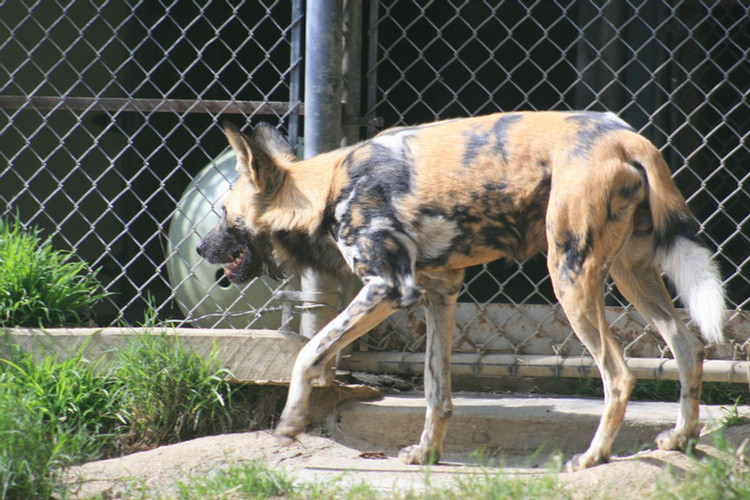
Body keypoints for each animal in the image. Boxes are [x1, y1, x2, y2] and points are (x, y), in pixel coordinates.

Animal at [197, 111, 724, 470]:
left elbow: (309, 353)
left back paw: (592, 458)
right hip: (632, 274)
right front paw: (426, 453)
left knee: (618, 374)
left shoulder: (388, 288)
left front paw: (290, 423)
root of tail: (626, 136)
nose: (201, 247)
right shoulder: (440, 293)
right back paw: (680, 439)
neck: (324, 189)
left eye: (224, 213)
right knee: (686, 346)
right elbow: (436, 388)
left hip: (570, 276)